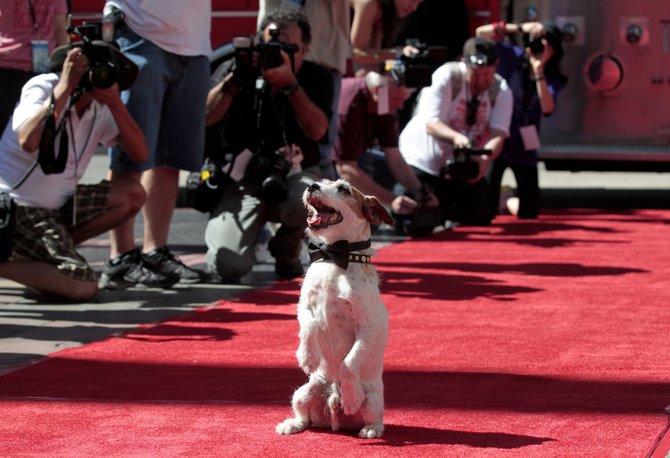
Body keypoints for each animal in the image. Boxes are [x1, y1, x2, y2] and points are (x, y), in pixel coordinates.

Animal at [276, 177, 394, 438]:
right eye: (321, 182)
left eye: (343, 189)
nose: (311, 185)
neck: (334, 258)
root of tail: (335, 419)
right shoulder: (304, 306)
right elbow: (309, 325)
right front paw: (307, 357)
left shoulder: (367, 329)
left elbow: (349, 364)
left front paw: (351, 397)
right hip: (303, 392)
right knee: (305, 417)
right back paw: (292, 424)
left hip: (374, 401)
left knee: (376, 419)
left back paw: (367, 425)